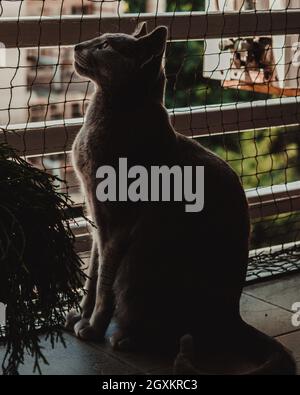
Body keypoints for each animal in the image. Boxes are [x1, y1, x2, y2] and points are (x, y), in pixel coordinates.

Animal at [65, 23, 296, 376]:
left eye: (104, 46)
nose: (77, 46)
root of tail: (232, 316)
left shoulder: (114, 228)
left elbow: (103, 283)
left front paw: (92, 327)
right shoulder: (96, 221)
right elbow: (92, 277)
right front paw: (81, 315)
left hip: (141, 265)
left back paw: (125, 338)